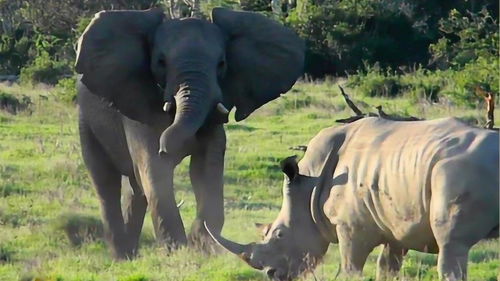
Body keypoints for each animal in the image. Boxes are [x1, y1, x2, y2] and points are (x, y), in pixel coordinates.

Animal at [74, 7, 304, 258]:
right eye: (160, 62)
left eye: (221, 63)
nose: (166, 149)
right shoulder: (138, 107)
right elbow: (154, 168)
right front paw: (176, 252)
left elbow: (206, 167)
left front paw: (202, 246)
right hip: (86, 121)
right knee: (106, 183)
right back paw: (121, 257)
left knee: (135, 189)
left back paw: (131, 254)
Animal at [205, 117, 498, 280]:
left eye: (279, 235)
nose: (271, 274)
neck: (308, 186)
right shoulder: (395, 227)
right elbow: (387, 268)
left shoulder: (351, 227)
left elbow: (350, 267)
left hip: (456, 171)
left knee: (451, 245)